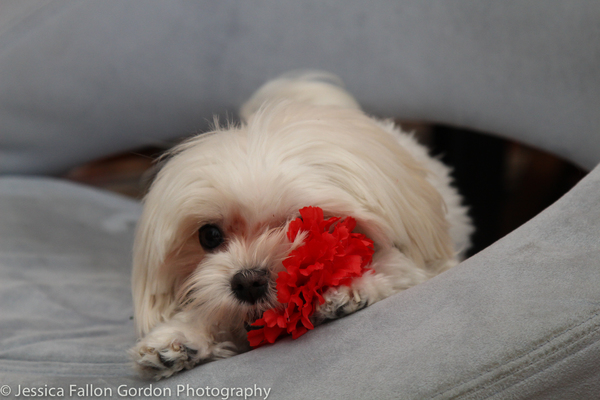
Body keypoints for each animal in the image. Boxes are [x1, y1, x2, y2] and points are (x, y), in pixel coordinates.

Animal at [130, 70, 474, 380]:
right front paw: (177, 339)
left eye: (304, 224)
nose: (248, 282)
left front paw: (345, 288)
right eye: (210, 235)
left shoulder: (421, 263)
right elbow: (212, 311)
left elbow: (395, 271)